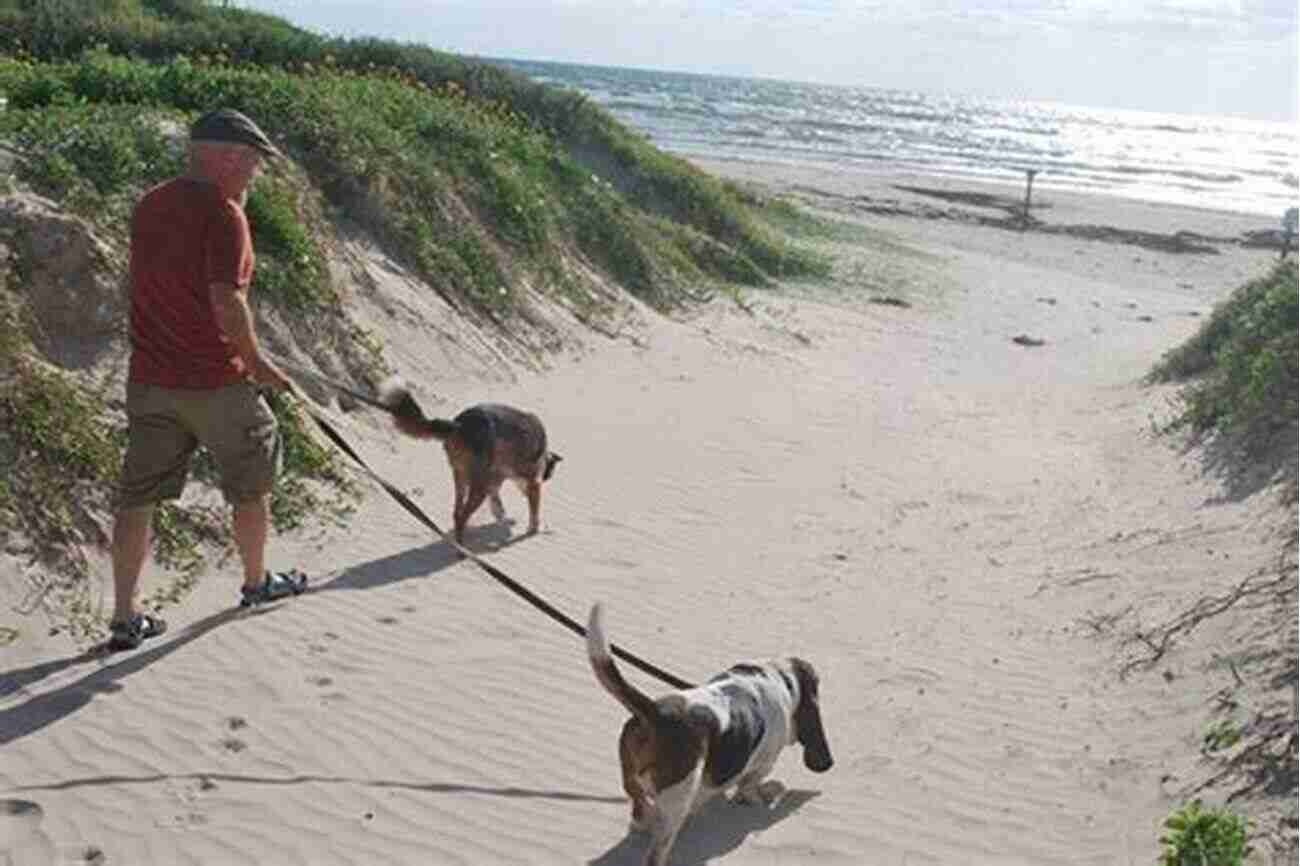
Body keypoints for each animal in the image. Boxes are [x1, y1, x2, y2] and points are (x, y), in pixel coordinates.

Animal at [377, 379, 559, 543]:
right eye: (547, 475)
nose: (546, 476)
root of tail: (460, 424)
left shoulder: (495, 479)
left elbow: (496, 502)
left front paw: (502, 516)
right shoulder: (532, 482)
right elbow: (534, 511)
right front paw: (534, 529)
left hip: (462, 477)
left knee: (457, 513)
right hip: (478, 485)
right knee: (462, 515)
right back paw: (461, 548)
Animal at [587, 600, 832, 863]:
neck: (781, 677)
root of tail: (657, 712)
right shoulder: (764, 764)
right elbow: (750, 786)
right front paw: (760, 796)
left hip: (633, 781)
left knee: (639, 810)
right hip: (676, 803)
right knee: (657, 849)